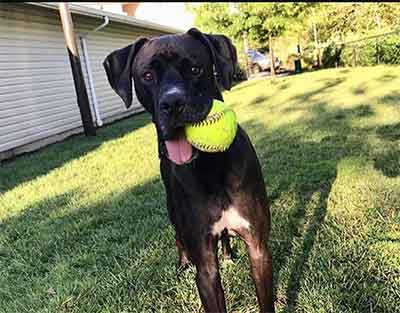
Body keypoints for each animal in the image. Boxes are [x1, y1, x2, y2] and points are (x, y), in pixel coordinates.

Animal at [102, 27, 276, 312]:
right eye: (147, 76)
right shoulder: (205, 268)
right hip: (172, 206)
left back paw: (228, 253)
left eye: (195, 69)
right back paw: (183, 263)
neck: (210, 167)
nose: (173, 103)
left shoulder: (259, 248)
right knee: (177, 235)